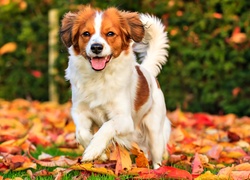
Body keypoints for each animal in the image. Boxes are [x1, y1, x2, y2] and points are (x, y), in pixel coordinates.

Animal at [59, 5, 171, 169]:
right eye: (86, 34)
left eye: (110, 33)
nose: (96, 47)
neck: (99, 77)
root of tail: (147, 71)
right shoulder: (80, 111)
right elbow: (81, 133)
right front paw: (99, 153)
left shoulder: (125, 119)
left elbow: (108, 125)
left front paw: (94, 148)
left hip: (154, 131)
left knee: (157, 158)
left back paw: (158, 171)